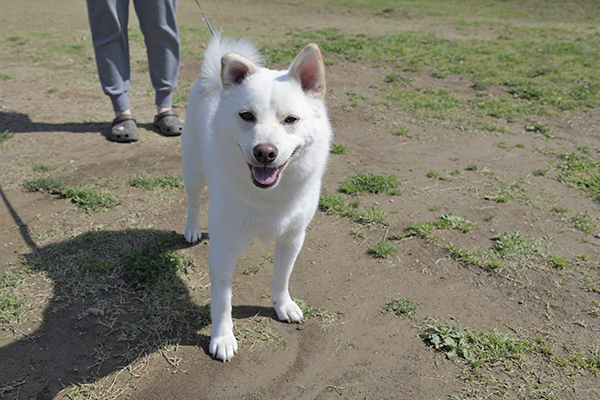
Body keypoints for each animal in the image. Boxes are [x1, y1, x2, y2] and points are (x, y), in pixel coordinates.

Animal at [183, 32, 332, 360]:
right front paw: (222, 338)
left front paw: (283, 305)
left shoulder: (293, 238)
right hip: (193, 171)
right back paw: (192, 229)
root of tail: (211, 80)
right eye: (247, 116)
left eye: (291, 120)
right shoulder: (224, 249)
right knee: (193, 201)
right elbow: (222, 299)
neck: (269, 197)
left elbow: (282, 277)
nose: (265, 152)